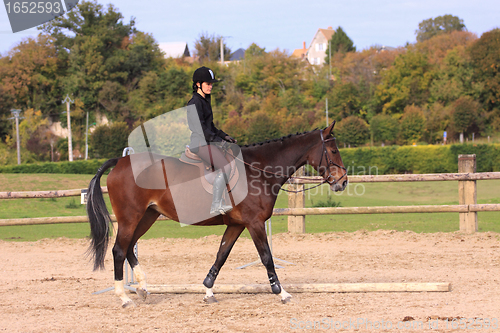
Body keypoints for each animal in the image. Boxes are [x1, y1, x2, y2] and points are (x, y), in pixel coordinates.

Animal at [86, 120, 346, 308]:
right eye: (333, 150)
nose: (342, 182)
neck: (259, 170)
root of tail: (120, 162)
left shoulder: (237, 224)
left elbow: (221, 255)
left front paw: (208, 290)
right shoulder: (254, 223)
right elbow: (266, 257)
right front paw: (281, 292)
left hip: (147, 216)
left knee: (130, 247)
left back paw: (141, 289)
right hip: (130, 217)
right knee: (119, 250)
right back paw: (124, 297)